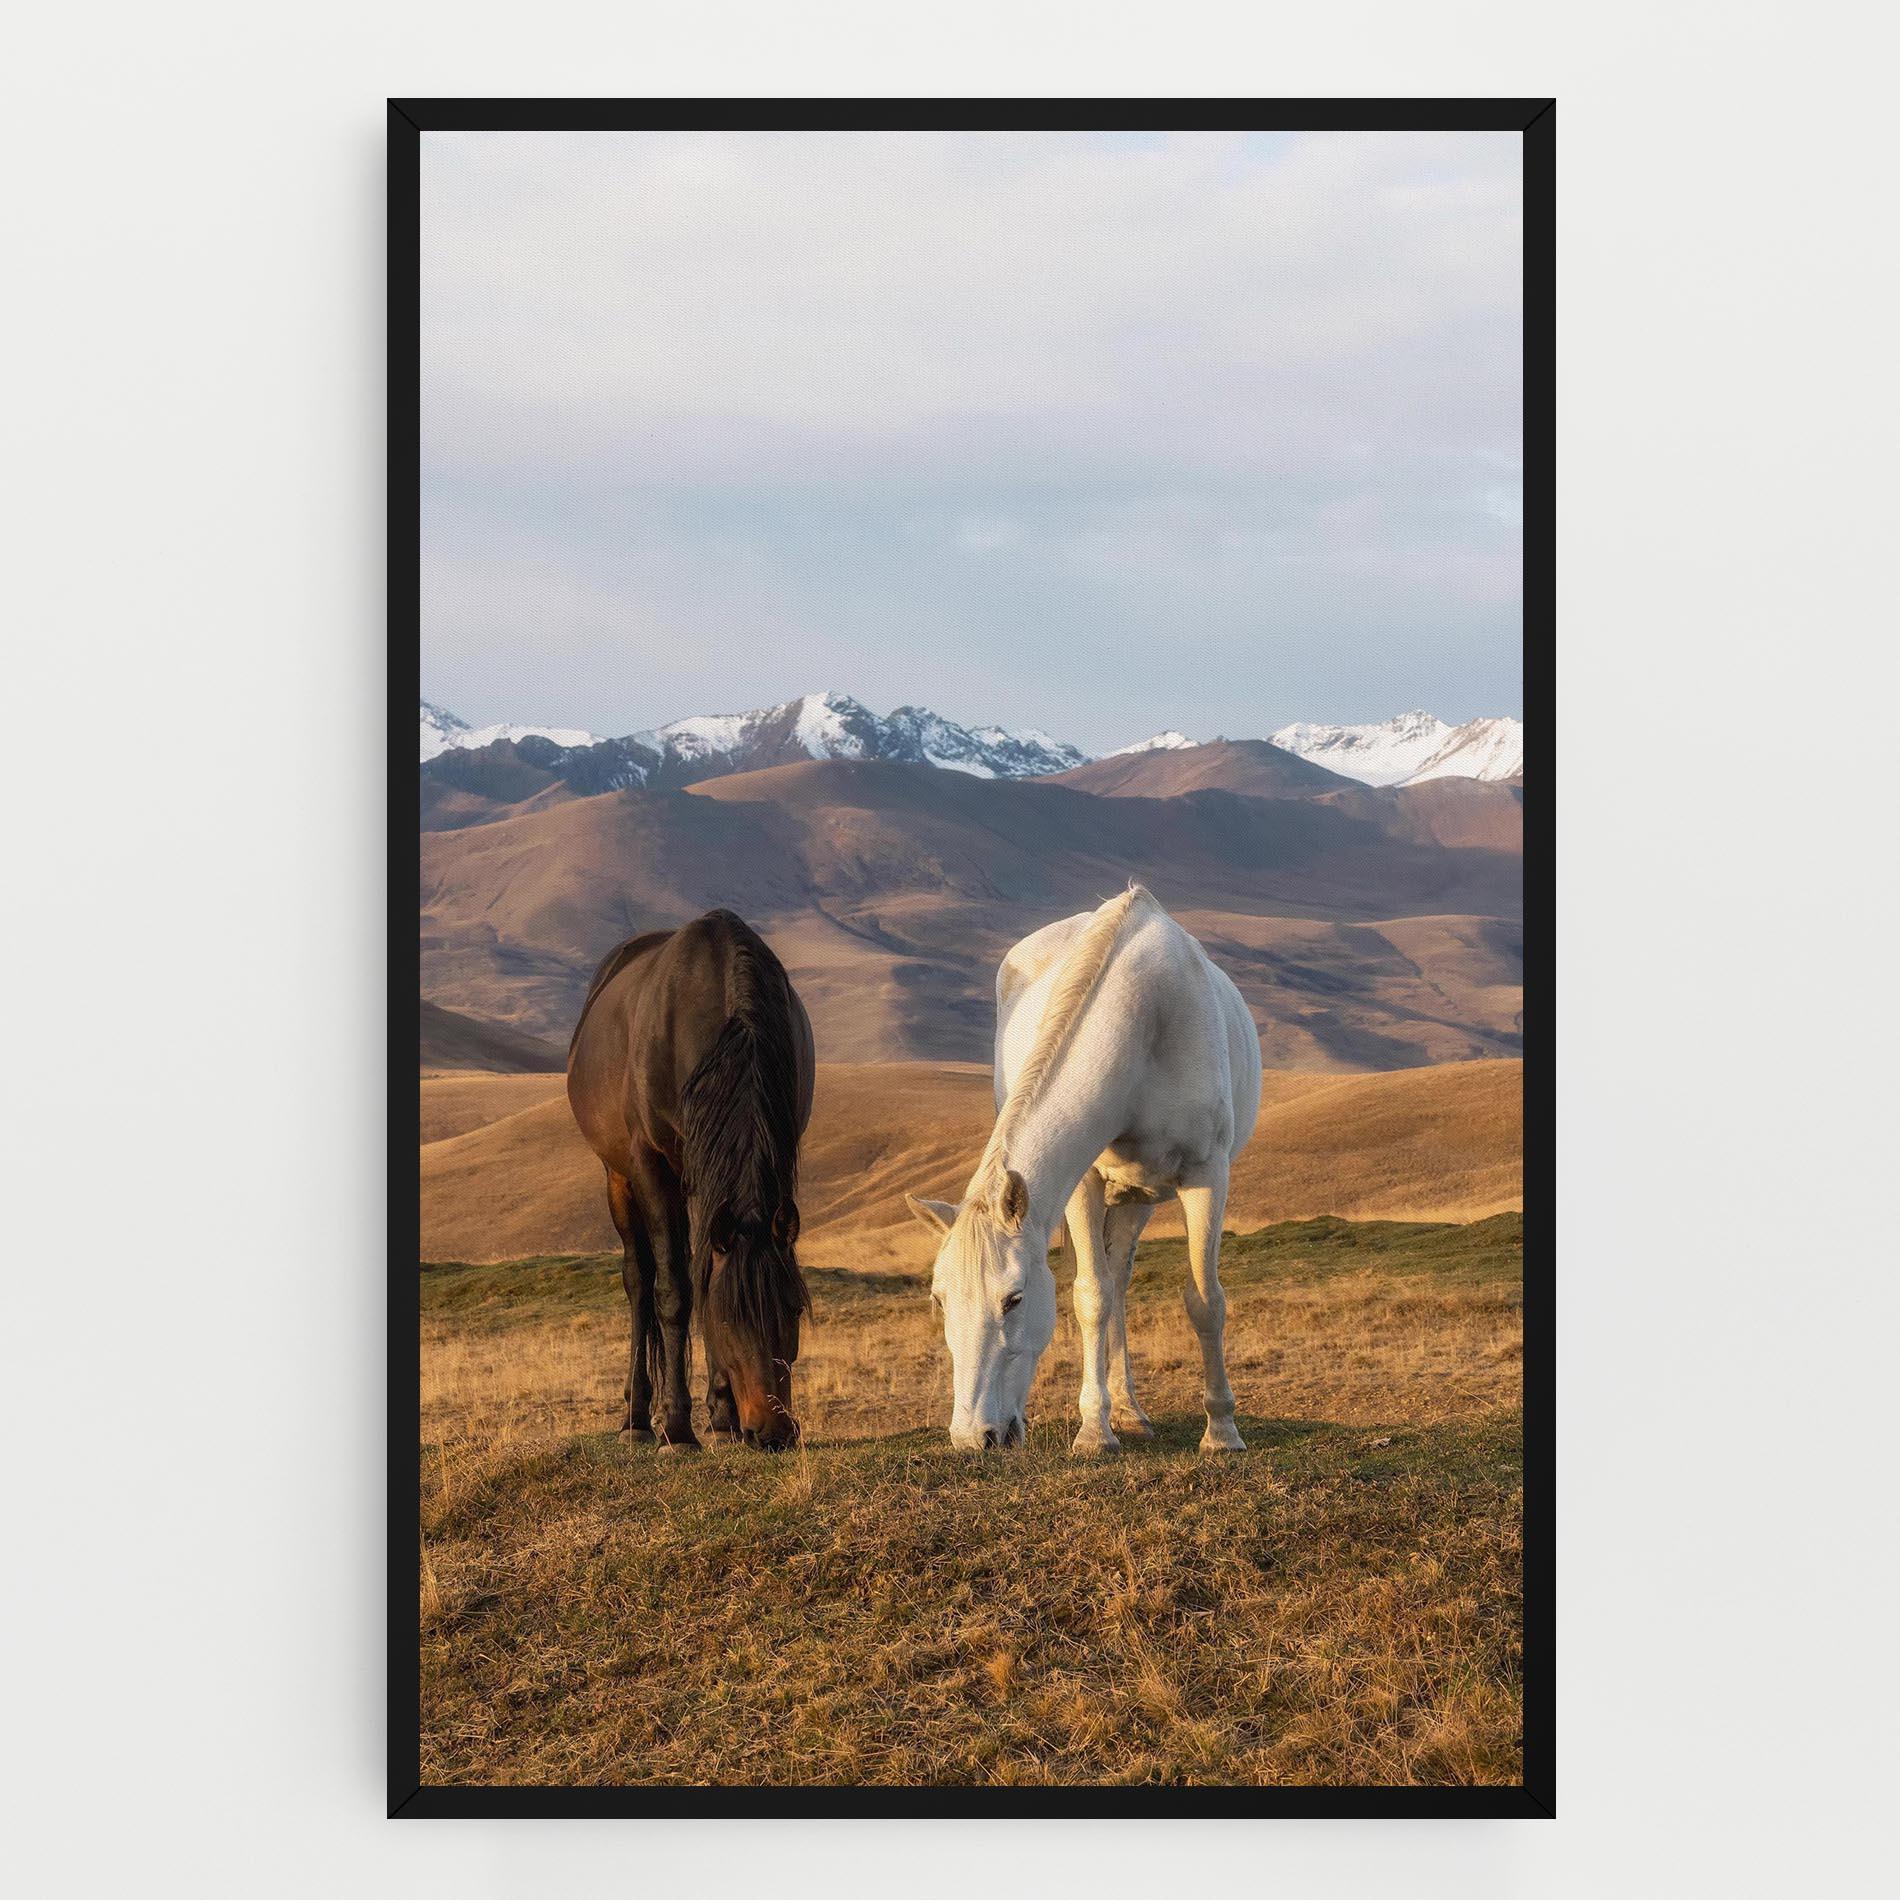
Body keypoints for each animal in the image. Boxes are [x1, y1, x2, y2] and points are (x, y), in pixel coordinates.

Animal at [567, 909, 814, 1451]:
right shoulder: (651, 1164)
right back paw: (638, 1418)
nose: (773, 1432)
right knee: (640, 1281)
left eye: (793, 1310)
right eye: (728, 1318)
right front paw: (678, 1427)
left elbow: (704, 1274)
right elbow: (676, 1292)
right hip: (619, 1177)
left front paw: (721, 1418)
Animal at [905, 884, 1262, 1456]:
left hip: (1141, 1197)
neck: (1144, 1020)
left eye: (1014, 1299)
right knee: (1108, 1286)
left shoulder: (1207, 1178)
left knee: (1124, 1280)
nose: (973, 1437)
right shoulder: (1083, 1184)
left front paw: (1222, 1431)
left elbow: (1206, 1301)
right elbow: (1091, 1296)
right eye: (939, 1299)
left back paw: (1137, 1412)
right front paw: (1095, 1430)